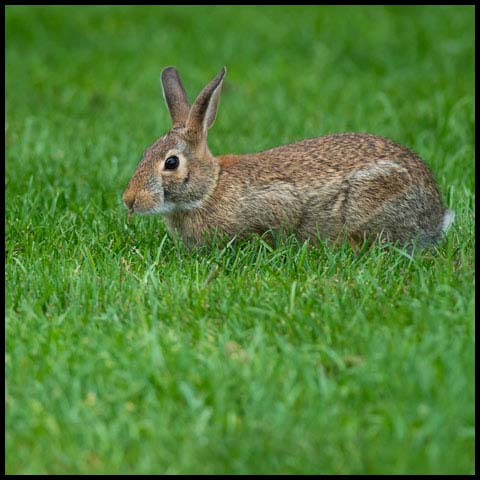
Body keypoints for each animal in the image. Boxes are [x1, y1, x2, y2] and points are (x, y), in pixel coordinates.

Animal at [123, 67, 454, 251]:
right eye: (146, 153)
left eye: (171, 163)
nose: (129, 200)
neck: (211, 188)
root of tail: (435, 216)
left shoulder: (276, 204)